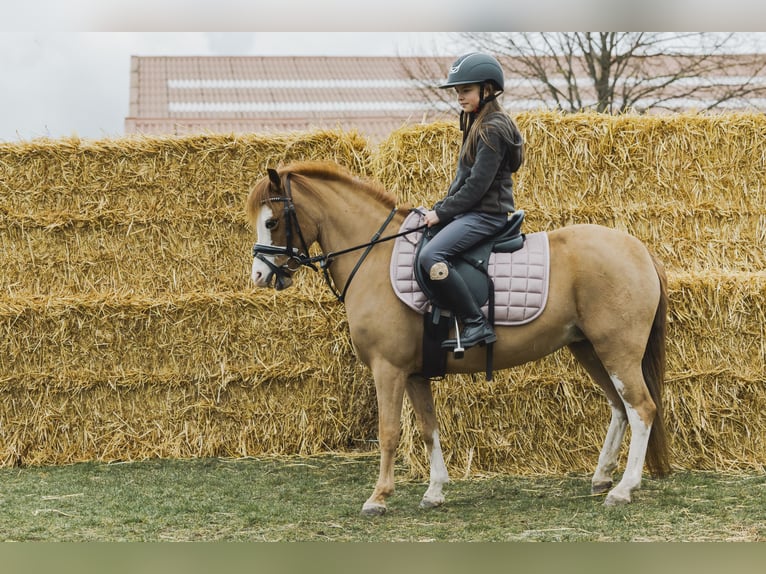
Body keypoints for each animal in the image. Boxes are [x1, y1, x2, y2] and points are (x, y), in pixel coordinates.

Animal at [248, 160, 672, 516]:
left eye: (272, 222)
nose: (259, 275)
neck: (375, 257)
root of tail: (639, 250)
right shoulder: (415, 374)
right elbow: (428, 429)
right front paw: (434, 491)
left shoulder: (389, 369)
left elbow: (389, 432)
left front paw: (378, 497)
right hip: (589, 349)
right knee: (620, 407)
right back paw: (603, 477)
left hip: (617, 351)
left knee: (642, 408)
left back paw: (624, 488)